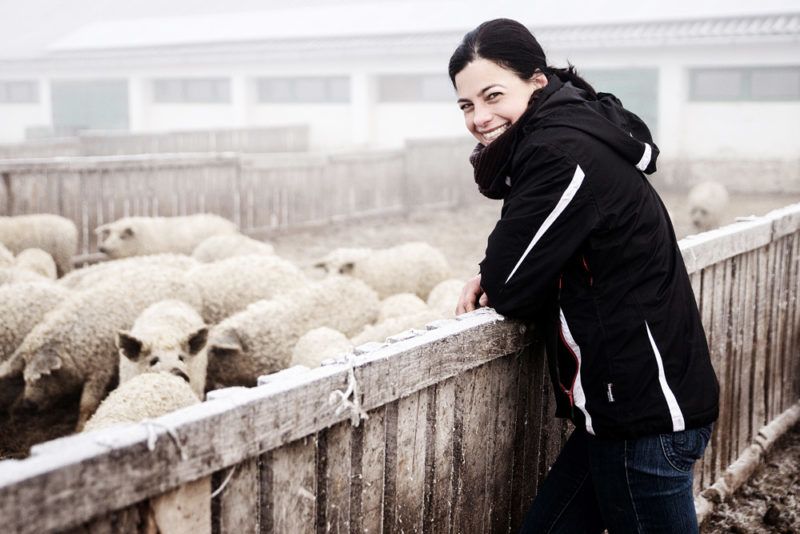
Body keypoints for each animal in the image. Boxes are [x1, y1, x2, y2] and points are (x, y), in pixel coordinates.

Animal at [0, 265, 202, 429]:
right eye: (24, 377)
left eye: (43, 375)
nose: (28, 403)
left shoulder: (100, 368)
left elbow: (87, 404)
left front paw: (78, 430)